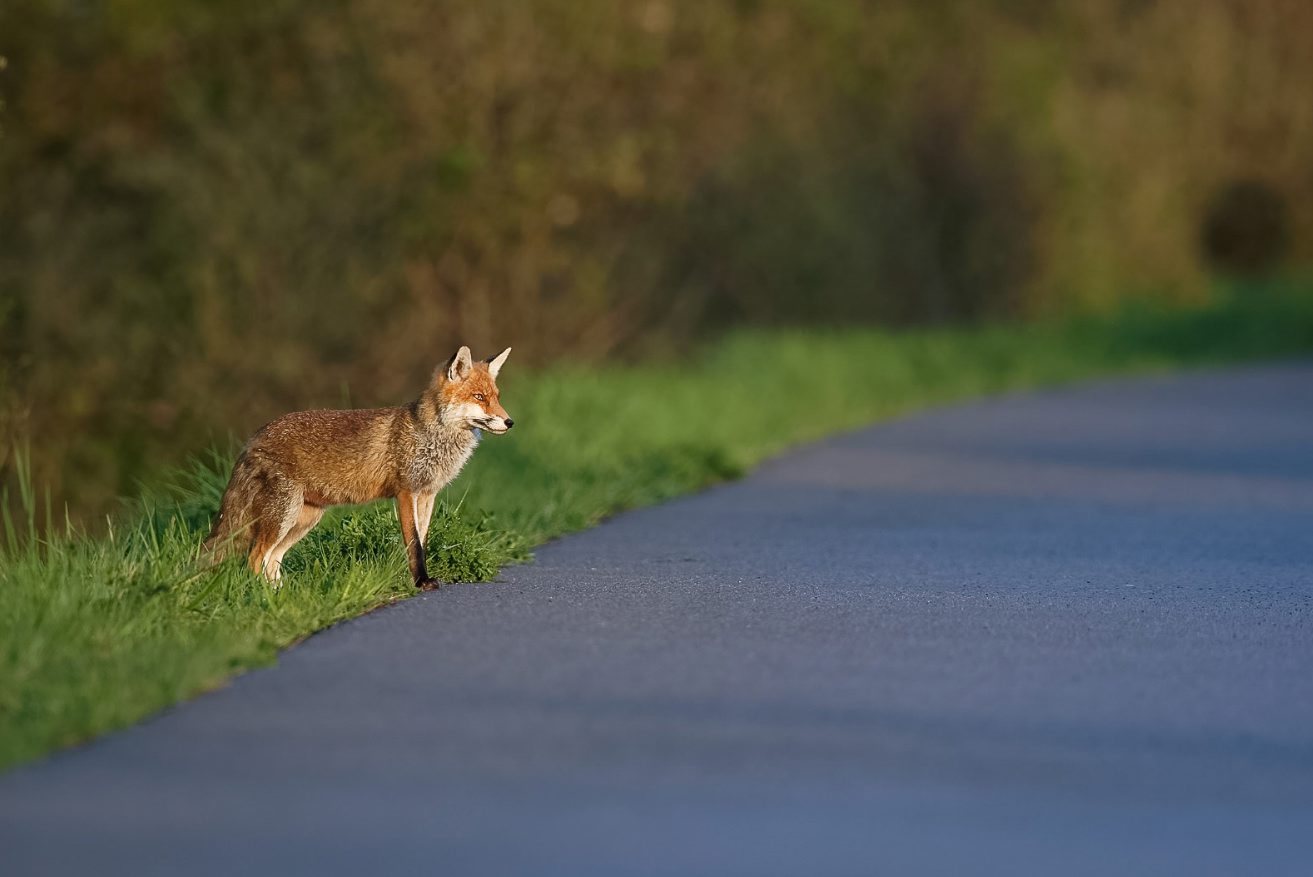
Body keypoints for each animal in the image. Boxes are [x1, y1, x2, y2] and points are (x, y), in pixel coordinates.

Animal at [204, 343, 512, 588]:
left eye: (496, 397)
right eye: (479, 397)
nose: (510, 422)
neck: (430, 436)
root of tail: (253, 437)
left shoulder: (427, 494)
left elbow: (423, 540)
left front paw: (420, 578)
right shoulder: (406, 492)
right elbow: (414, 544)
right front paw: (422, 583)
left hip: (303, 519)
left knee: (271, 561)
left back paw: (283, 597)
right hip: (283, 516)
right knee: (255, 559)